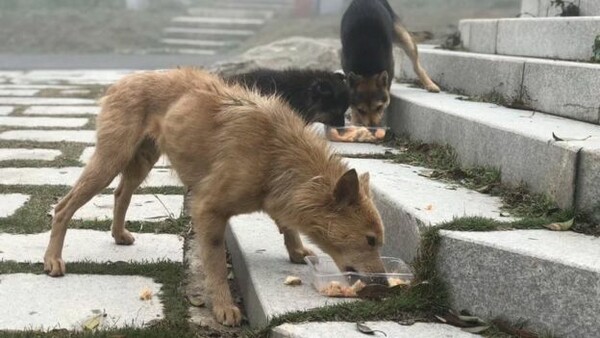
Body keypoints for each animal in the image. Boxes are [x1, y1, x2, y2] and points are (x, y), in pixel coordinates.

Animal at [44, 68, 386, 328]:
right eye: (370, 240)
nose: (384, 287)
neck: (276, 154)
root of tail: (123, 80)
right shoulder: (208, 210)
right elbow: (218, 266)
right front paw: (223, 306)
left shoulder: (277, 195)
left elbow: (286, 224)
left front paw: (297, 249)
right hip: (110, 160)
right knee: (63, 207)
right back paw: (52, 259)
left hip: (142, 160)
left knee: (120, 193)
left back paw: (118, 234)